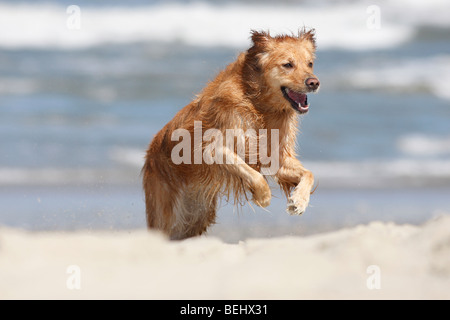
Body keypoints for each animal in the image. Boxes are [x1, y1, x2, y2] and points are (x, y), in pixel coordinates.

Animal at [142, 29, 318, 240]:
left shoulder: (275, 156)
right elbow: (252, 173)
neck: (258, 103)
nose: (314, 82)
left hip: (195, 217)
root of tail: (149, 154)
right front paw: (263, 196)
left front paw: (299, 201)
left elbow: (309, 173)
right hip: (166, 213)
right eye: (288, 64)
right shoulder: (212, 149)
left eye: (310, 63)